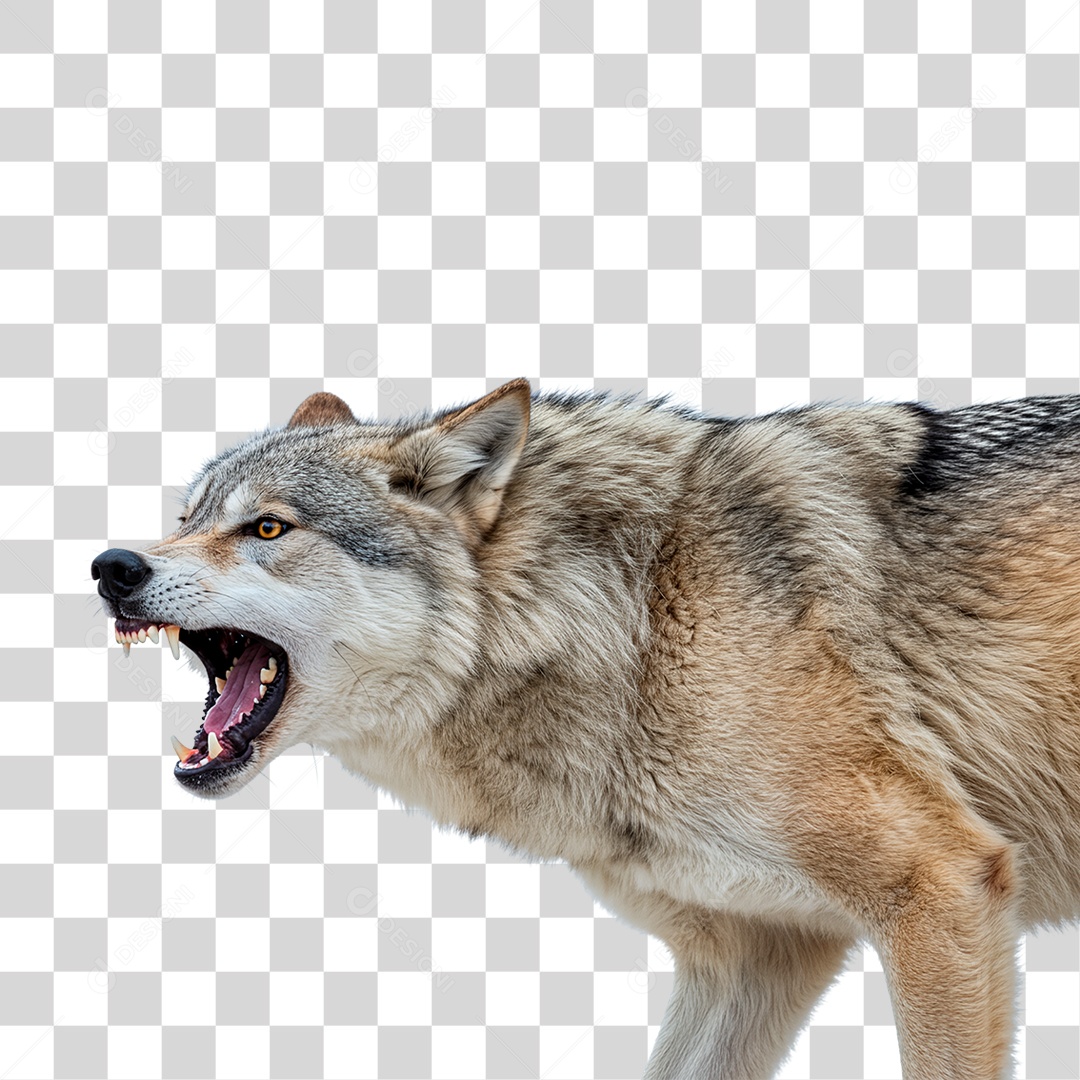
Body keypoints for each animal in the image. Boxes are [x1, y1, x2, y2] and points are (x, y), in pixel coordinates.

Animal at [91, 380, 1080, 1079]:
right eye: (185, 518)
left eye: (266, 528)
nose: (111, 566)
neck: (638, 615)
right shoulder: (758, 957)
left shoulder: (943, 887)